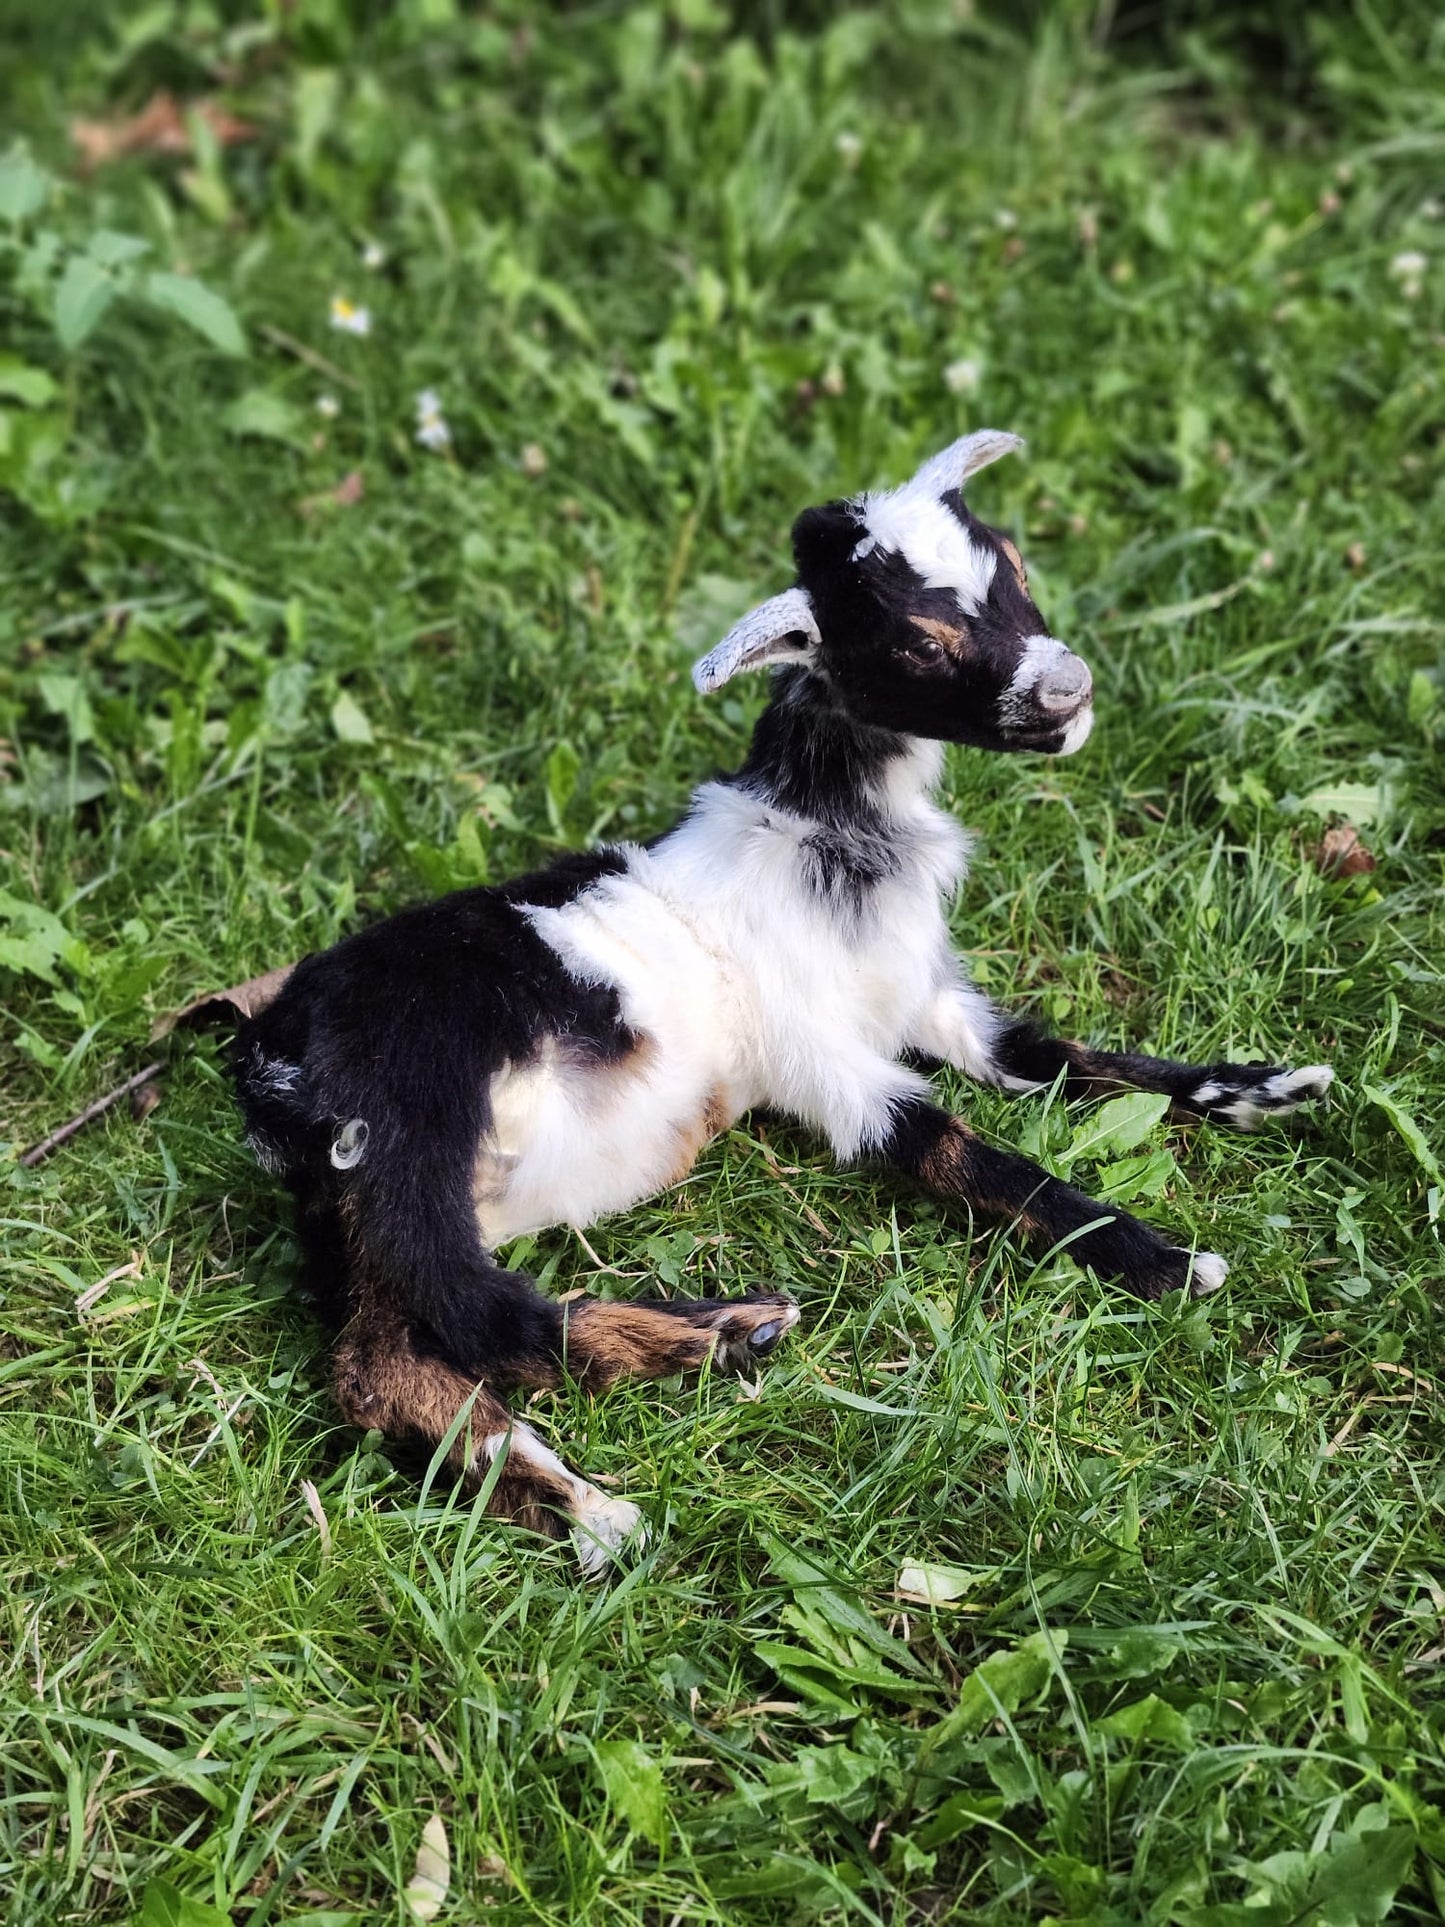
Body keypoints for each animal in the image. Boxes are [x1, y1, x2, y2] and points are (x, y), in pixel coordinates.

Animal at [234, 430, 1331, 1573]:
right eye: (919, 644)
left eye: (1014, 567)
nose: (1065, 688)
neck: (821, 833)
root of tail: (276, 1064)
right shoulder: (830, 1060)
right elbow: (964, 1151)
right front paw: (1166, 1261)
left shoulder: (929, 1004)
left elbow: (1062, 1057)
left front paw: (1264, 1087)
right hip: (420, 1124)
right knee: (465, 1312)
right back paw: (664, 1410)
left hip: (371, 1209)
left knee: (380, 1360)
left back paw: (633, 1431)